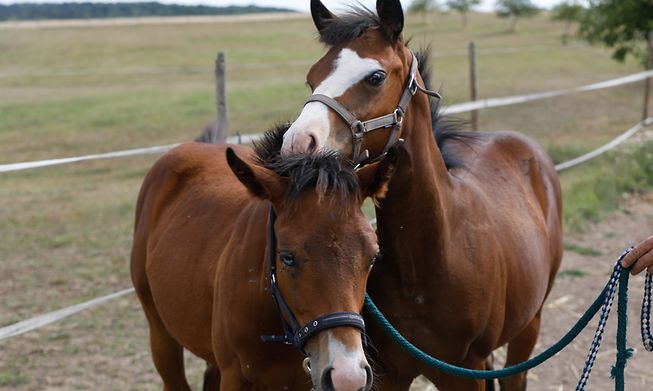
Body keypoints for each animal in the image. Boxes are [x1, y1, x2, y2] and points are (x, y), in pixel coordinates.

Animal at [278, 1, 560, 390]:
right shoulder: (389, 372)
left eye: (376, 77)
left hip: (528, 328)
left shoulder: (464, 372)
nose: (296, 144)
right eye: (312, 77)